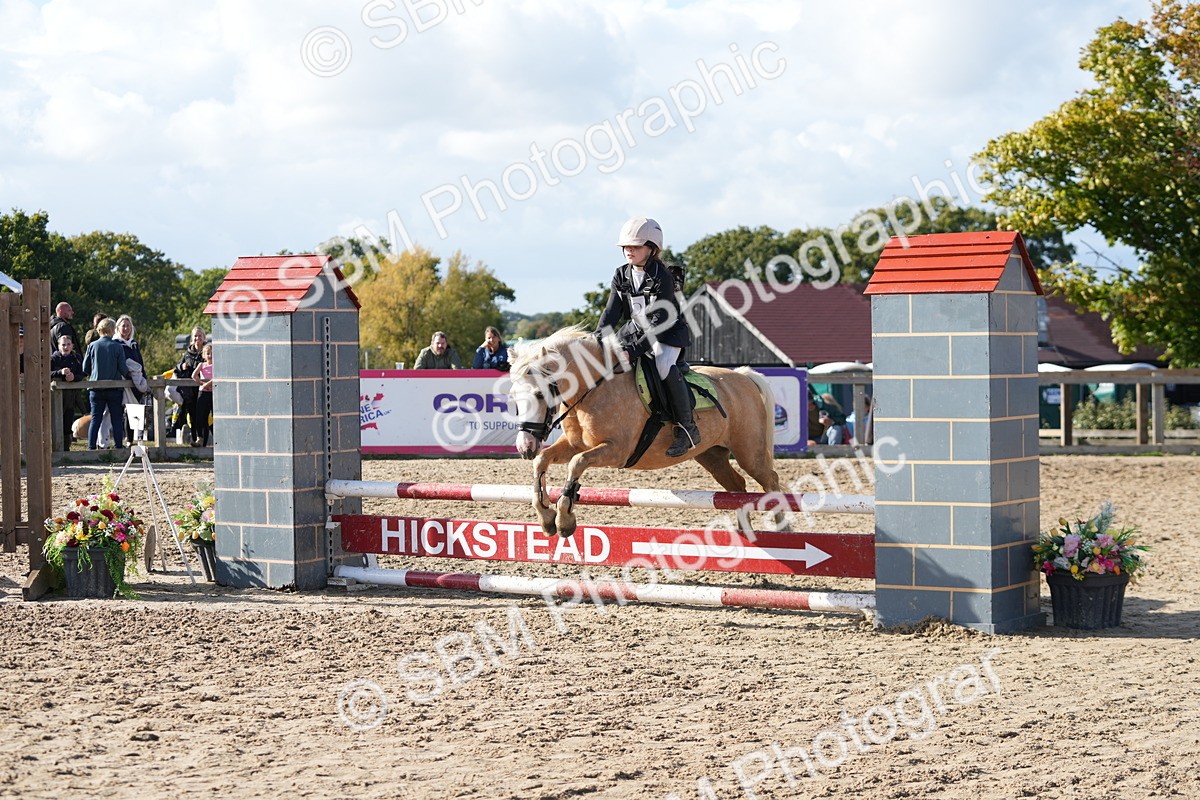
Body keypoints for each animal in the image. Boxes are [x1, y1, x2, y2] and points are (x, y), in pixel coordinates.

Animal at [510, 325, 785, 537]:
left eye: (539, 394)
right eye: (513, 395)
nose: (525, 447)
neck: (592, 388)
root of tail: (743, 375)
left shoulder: (616, 451)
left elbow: (577, 463)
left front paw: (565, 520)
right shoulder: (576, 444)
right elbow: (542, 460)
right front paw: (546, 517)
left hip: (750, 453)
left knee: (771, 482)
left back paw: (783, 530)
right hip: (712, 455)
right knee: (737, 486)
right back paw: (745, 533)